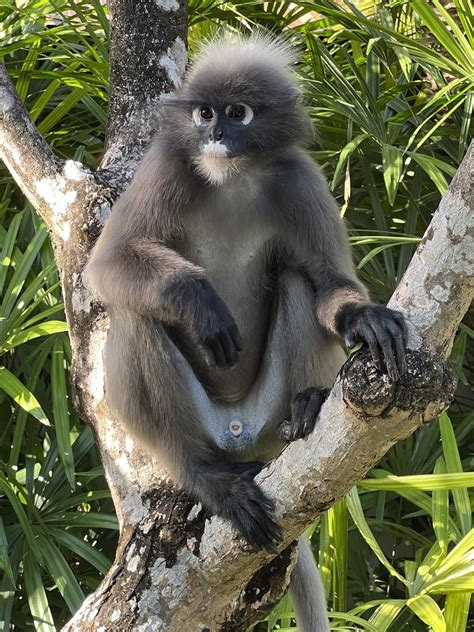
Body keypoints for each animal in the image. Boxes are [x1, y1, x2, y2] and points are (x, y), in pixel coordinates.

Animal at [85, 33, 408, 632]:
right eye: (205, 113)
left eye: (238, 114)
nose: (215, 135)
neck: (231, 181)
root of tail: (238, 435)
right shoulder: (167, 164)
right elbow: (108, 263)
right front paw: (201, 303)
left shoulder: (299, 177)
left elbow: (329, 282)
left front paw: (363, 317)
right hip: (200, 425)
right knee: (137, 314)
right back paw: (206, 477)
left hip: (266, 417)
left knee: (297, 279)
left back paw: (307, 406)